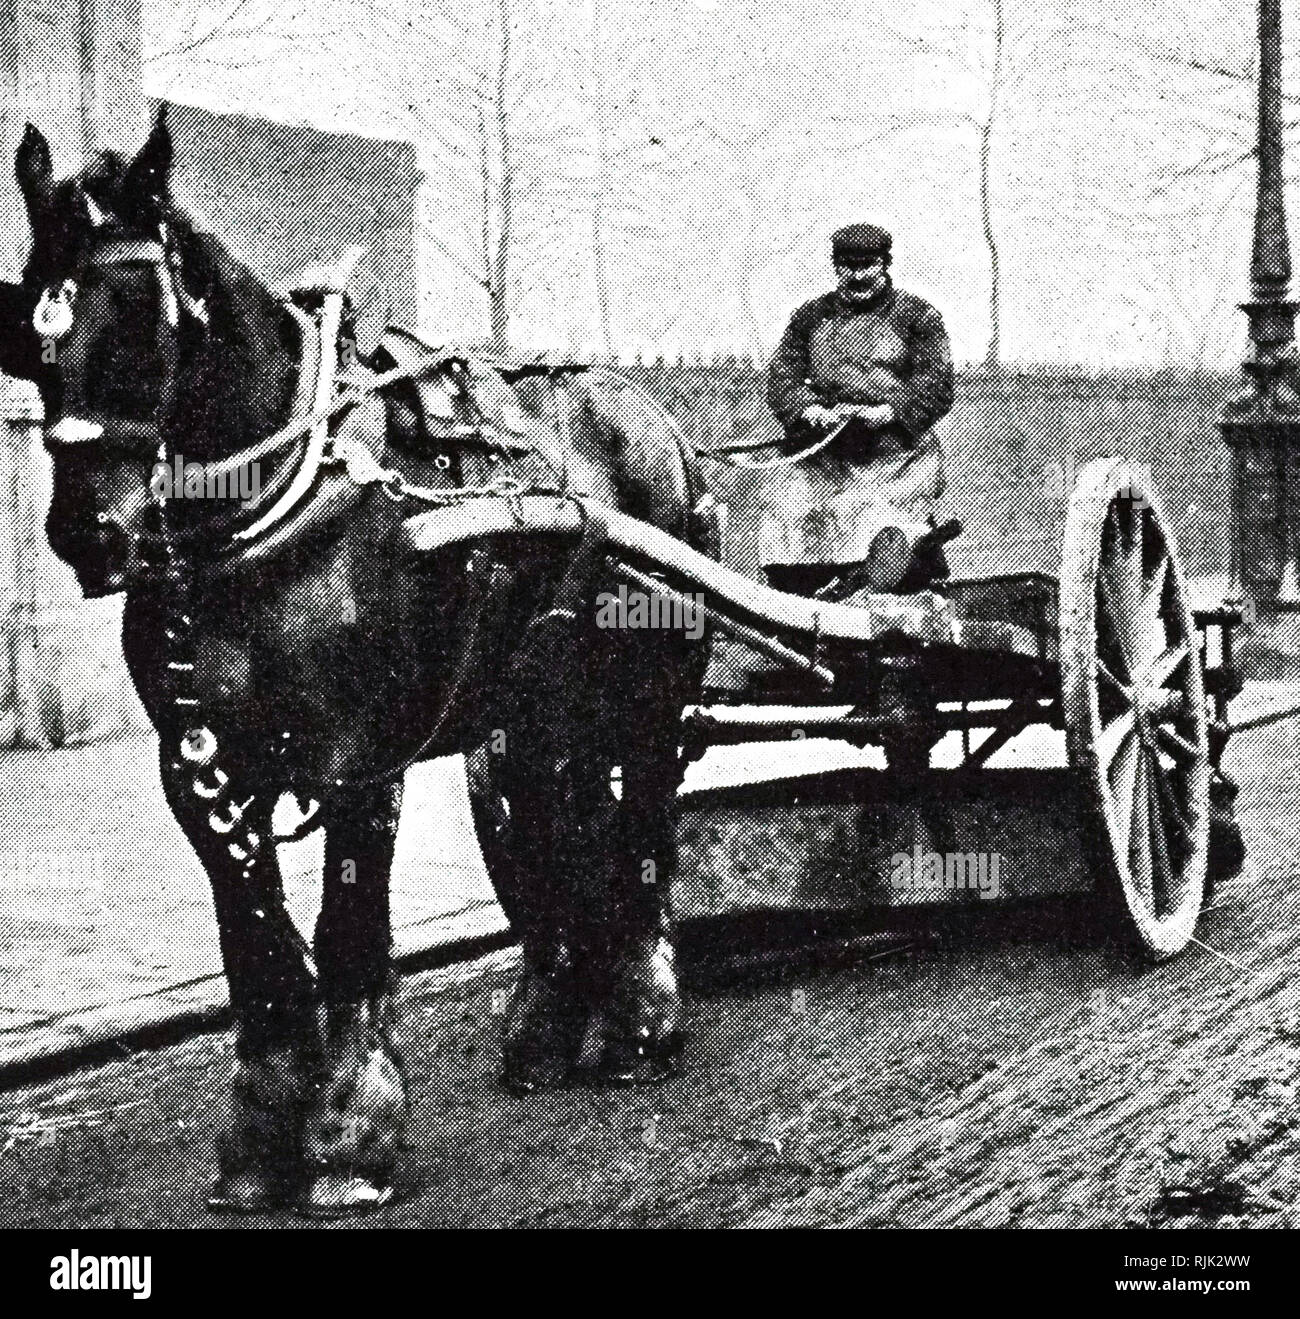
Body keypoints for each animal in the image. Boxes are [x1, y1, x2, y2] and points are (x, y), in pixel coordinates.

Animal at [7, 108, 711, 1218]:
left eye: (137, 320)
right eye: (34, 324)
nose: (86, 532)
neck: (272, 512)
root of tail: (653, 419)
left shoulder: (357, 758)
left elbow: (344, 933)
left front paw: (349, 1139)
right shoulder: (197, 766)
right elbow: (256, 947)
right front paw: (258, 1145)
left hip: (647, 693)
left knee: (640, 829)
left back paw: (642, 1022)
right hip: (532, 710)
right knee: (555, 828)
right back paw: (549, 1031)